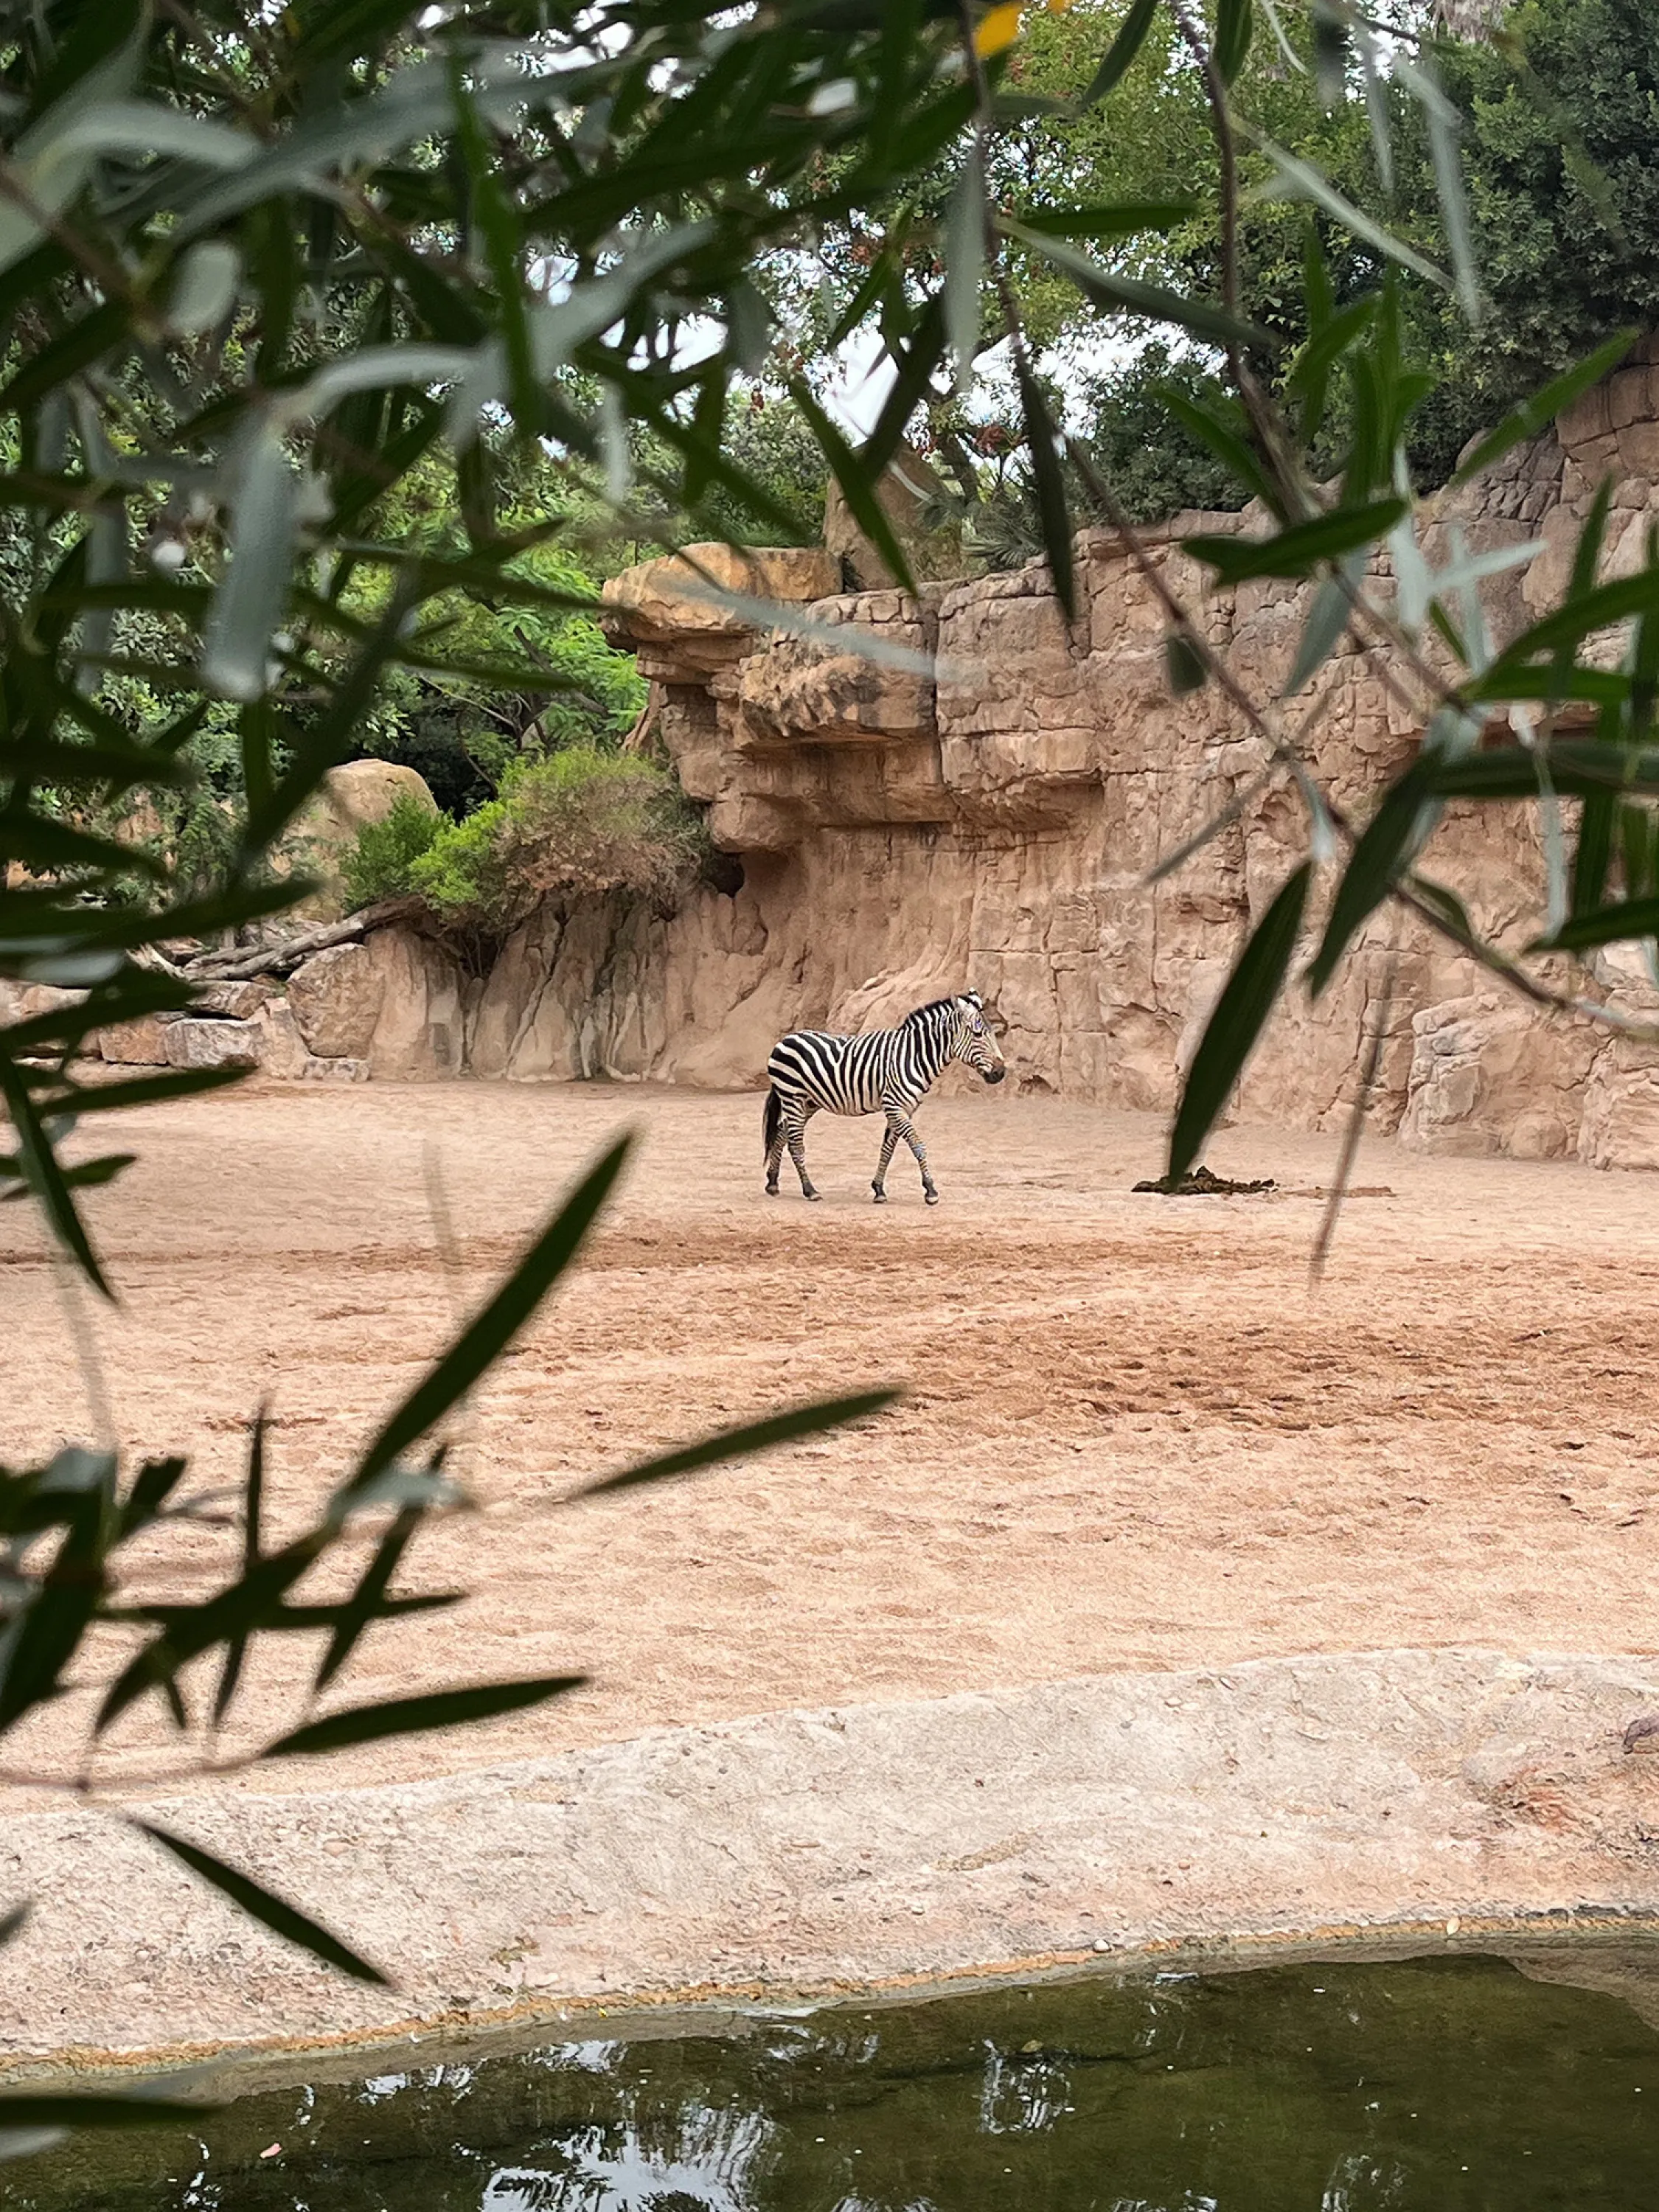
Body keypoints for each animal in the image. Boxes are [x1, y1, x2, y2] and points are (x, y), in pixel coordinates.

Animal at [765, 995, 1013, 1212]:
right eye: (978, 1034)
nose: (1001, 1073)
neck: (914, 1057)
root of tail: (784, 1040)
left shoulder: (905, 1109)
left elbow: (888, 1149)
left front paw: (879, 1190)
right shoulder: (894, 1105)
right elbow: (918, 1146)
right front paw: (931, 1190)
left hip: (808, 1102)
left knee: (782, 1132)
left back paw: (773, 1182)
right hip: (793, 1096)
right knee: (795, 1143)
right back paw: (809, 1190)